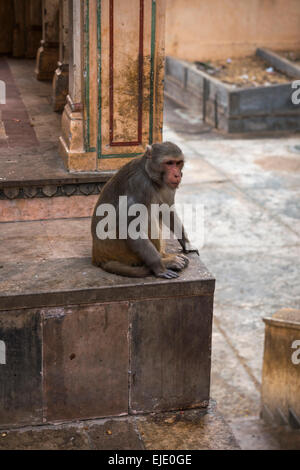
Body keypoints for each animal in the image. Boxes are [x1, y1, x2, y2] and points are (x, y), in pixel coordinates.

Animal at [91, 140, 199, 280]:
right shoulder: (139, 185)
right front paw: (159, 268)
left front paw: (187, 244)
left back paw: (165, 256)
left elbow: (167, 210)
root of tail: (97, 256)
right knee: (148, 218)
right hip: (116, 248)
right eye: (169, 163)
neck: (152, 178)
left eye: (178, 163)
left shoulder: (168, 187)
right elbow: (129, 228)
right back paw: (166, 262)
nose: (177, 175)